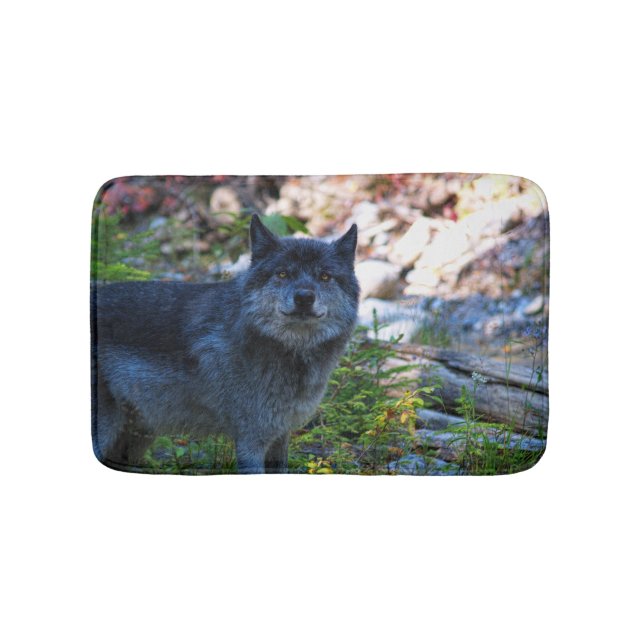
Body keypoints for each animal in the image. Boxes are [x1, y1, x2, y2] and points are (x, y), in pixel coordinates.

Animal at [92, 215, 359, 474]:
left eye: (325, 276)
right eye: (283, 274)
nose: (304, 297)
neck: (292, 353)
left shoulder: (280, 435)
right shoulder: (251, 441)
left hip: (137, 438)